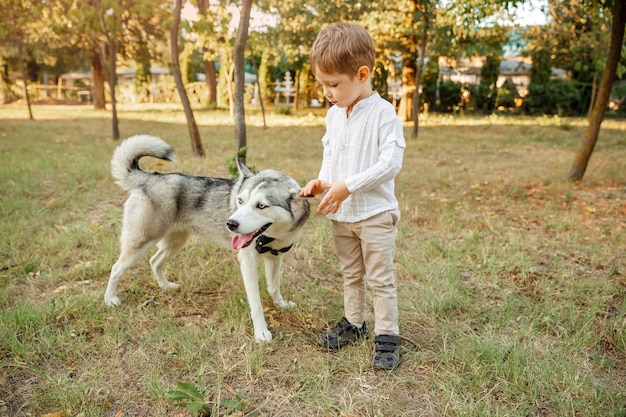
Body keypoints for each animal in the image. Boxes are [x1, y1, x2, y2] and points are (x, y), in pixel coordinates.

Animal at [105, 135, 310, 340]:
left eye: (261, 206)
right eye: (240, 201)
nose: (230, 224)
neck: (273, 236)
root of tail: (150, 177)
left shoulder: (275, 258)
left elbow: (274, 287)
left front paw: (280, 305)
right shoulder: (248, 262)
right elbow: (256, 303)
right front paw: (261, 332)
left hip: (175, 243)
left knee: (154, 261)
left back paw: (165, 286)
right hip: (141, 243)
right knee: (117, 268)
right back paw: (110, 299)